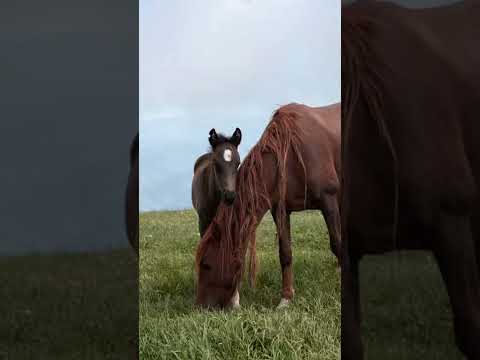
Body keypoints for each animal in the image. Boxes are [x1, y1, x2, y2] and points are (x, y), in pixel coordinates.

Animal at [193, 103, 340, 310]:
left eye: (206, 264)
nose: (199, 306)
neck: (290, 155)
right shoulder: (281, 210)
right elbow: (285, 253)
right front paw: (286, 298)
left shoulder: (329, 201)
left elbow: (337, 244)